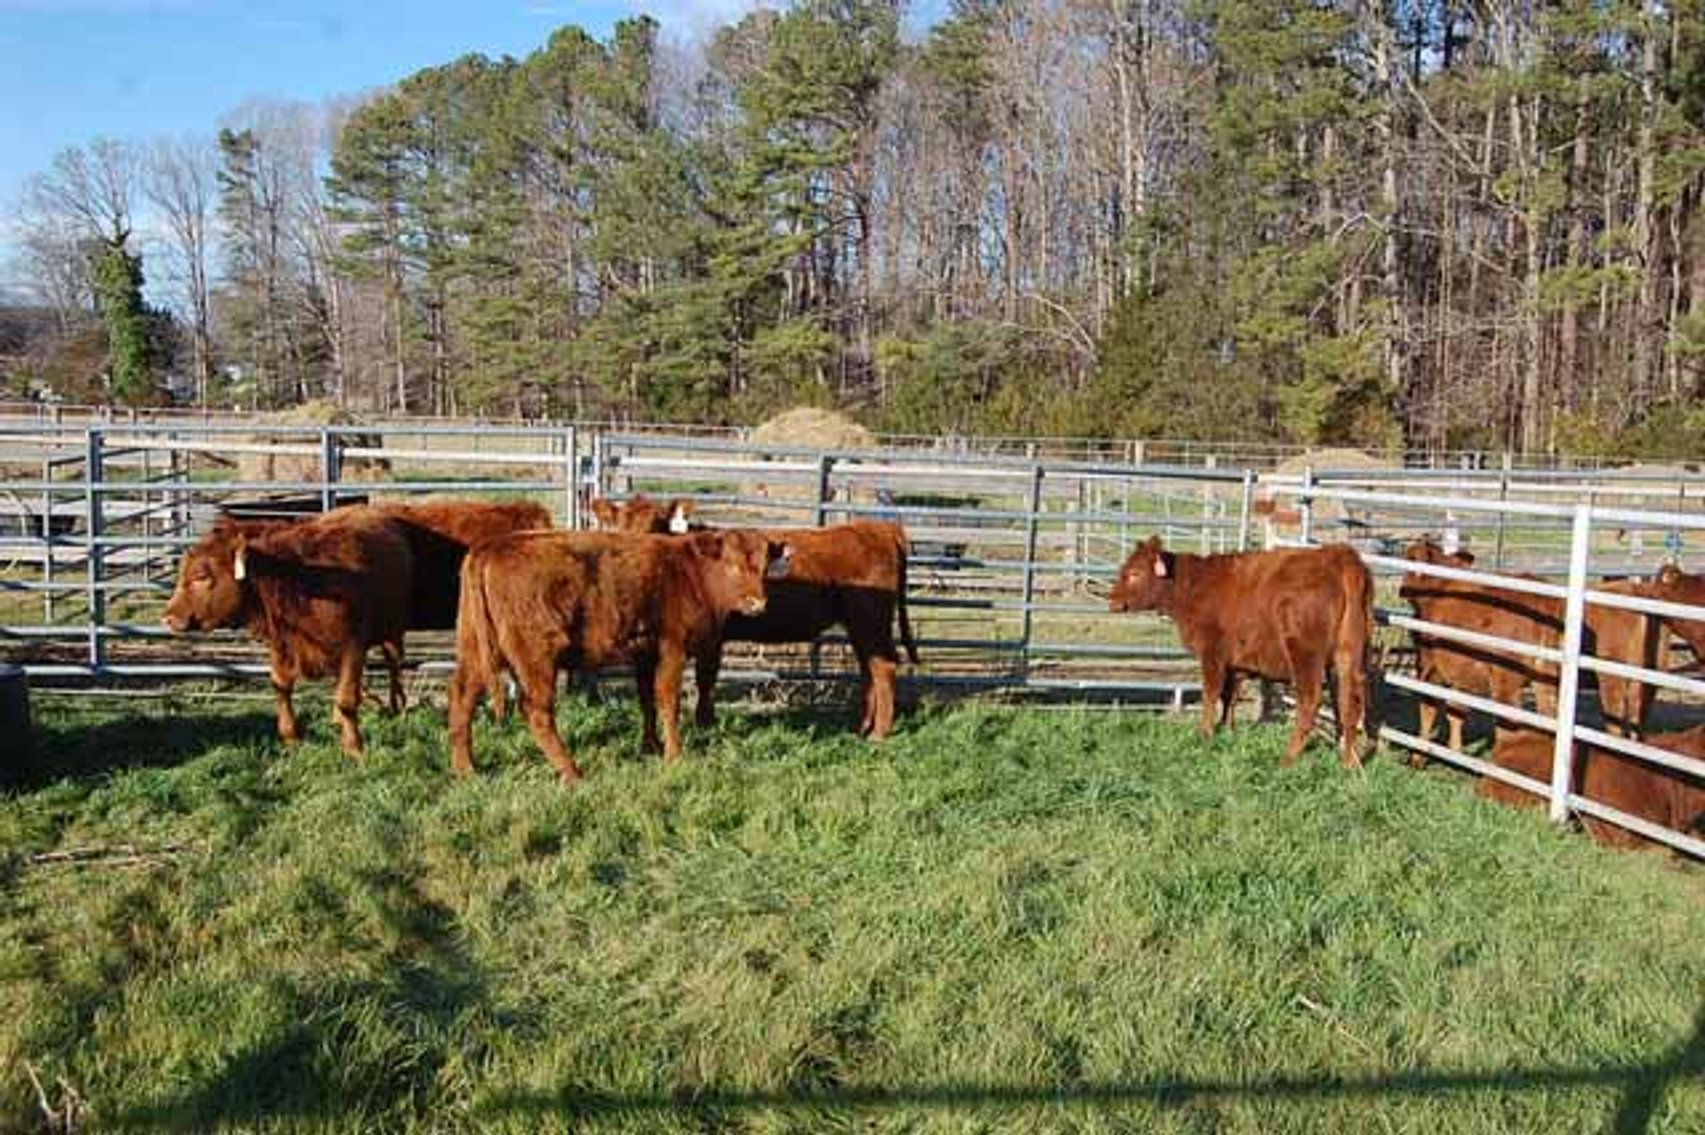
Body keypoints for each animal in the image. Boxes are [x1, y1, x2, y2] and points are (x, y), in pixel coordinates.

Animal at [162, 508, 413, 756]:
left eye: (201, 576)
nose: (168, 617)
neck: (302, 582)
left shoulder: (353, 646)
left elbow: (347, 698)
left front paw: (355, 748)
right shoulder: (281, 643)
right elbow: (281, 687)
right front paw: (291, 737)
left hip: (391, 628)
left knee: (393, 663)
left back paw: (396, 704)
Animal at [447, 529, 793, 784]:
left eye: (764, 567)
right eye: (732, 565)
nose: (757, 603)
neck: (690, 573)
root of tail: (492, 546)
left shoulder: (645, 655)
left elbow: (647, 701)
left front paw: (650, 747)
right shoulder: (672, 648)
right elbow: (668, 700)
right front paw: (674, 755)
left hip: (474, 649)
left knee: (462, 697)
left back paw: (467, 769)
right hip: (537, 658)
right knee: (536, 712)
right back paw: (572, 772)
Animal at [589, 497, 919, 739]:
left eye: (657, 524)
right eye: (618, 526)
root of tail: (880, 528)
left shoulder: (713, 637)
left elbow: (706, 677)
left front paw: (704, 723)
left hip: (870, 620)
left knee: (883, 667)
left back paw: (879, 733)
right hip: (860, 625)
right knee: (869, 669)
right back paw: (862, 727)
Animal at [1108, 537, 1372, 768]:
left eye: (1134, 573)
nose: (1111, 601)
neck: (1194, 586)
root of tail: (1339, 556)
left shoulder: (1212, 654)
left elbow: (1211, 694)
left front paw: (1205, 734)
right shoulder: (1236, 663)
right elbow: (1230, 697)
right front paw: (1227, 730)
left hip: (1306, 655)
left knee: (1311, 699)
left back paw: (1288, 758)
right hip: (1348, 656)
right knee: (1349, 700)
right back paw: (1349, 761)